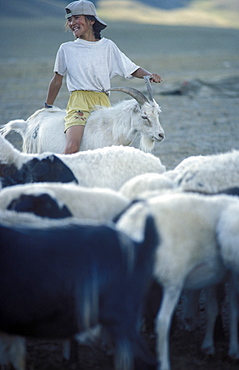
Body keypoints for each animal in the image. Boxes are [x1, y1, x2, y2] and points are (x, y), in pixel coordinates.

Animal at [115, 191, 238, 370]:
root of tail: (132, 225)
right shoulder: (233, 273)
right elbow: (234, 311)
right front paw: (233, 350)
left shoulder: (214, 277)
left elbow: (212, 308)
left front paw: (208, 346)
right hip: (172, 278)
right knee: (162, 322)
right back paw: (164, 363)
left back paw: (125, 361)